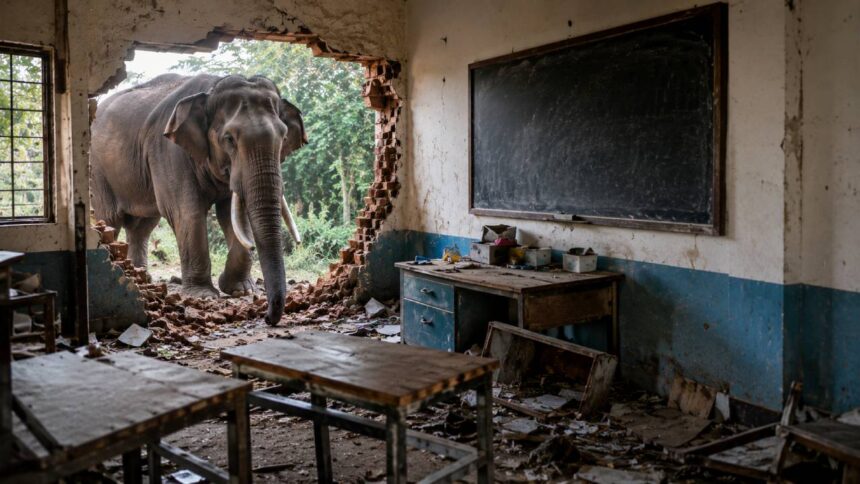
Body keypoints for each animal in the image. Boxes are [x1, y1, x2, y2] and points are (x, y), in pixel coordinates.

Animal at [90, 73, 305, 325]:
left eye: (283, 136)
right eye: (229, 139)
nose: (268, 318)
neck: (210, 90)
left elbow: (231, 215)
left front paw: (240, 290)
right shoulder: (169, 151)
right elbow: (186, 212)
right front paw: (204, 295)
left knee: (142, 227)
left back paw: (142, 279)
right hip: (98, 172)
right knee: (111, 220)